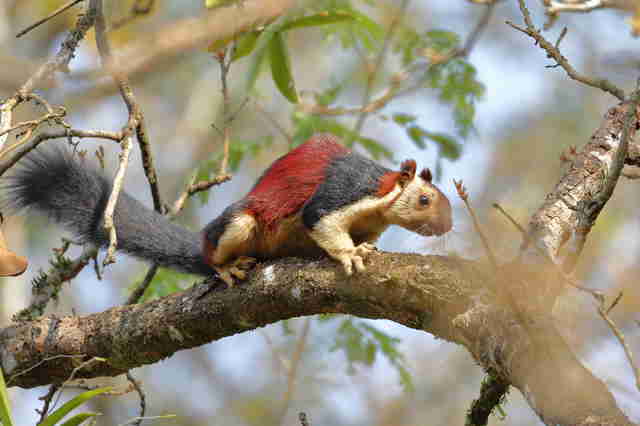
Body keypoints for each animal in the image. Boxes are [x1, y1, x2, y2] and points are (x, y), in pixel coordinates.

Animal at [3, 133, 452, 285]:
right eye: (425, 199)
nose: (447, 226)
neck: (381, 199)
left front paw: (366, 248)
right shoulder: (343, 191)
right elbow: (319, 219)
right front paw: (350, 254)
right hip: (238, 225)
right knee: (217, 252)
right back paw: (226, 268)